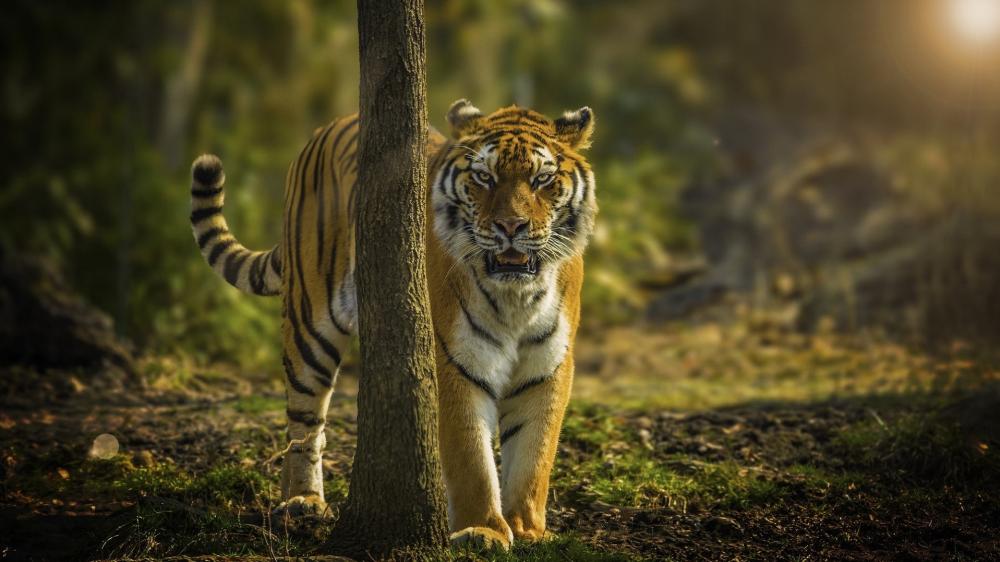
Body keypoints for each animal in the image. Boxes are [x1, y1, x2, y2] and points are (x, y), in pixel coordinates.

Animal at [188, 99, 596, 549]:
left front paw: (526, 529)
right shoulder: (452, 361)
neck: (516, 296)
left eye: (542, 179)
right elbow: (471, 457)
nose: (511, 227)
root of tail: (332, 124)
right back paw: (302, 501)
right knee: (305, 425)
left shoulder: (547, 368)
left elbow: (533, 455)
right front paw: (482, 530)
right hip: (309, 323)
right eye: (484, 178)